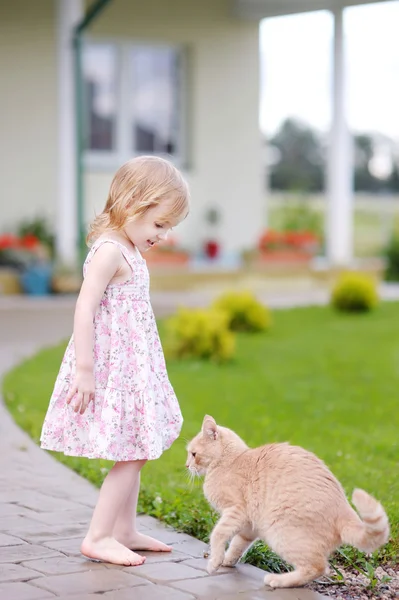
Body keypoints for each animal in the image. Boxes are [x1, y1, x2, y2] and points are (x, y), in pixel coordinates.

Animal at [188, 414, 390, 588]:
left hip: (281, 534)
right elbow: (238, 544)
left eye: (193, 454)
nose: (186, 465)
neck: (230, 461)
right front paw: (227, 561)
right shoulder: (249, 525)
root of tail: (345, 509)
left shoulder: (236, 510)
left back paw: (278, 581)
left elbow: (217, 535)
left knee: (318, 567)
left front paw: (214, 562)